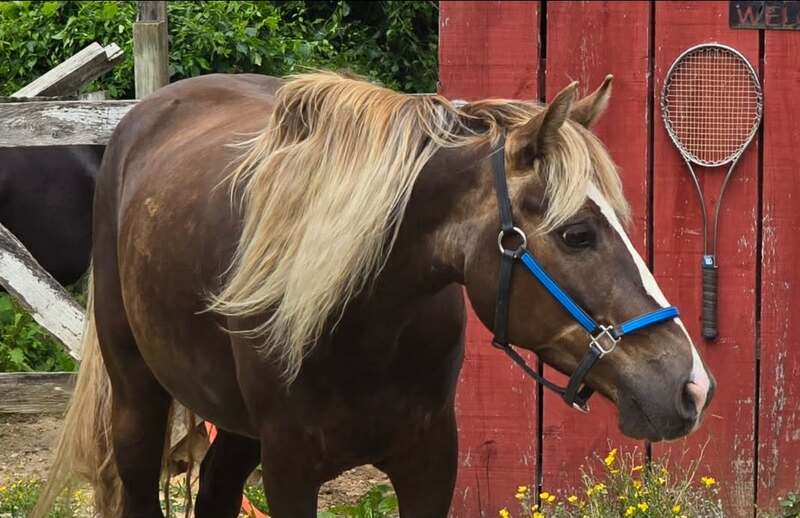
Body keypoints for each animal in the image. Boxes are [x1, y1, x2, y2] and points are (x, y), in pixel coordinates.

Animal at [34, 72, 715, 518]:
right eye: (577, 234)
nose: (691, 387)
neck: (365, 322)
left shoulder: (430, 461)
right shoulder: (291, 468)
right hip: (136, 392)